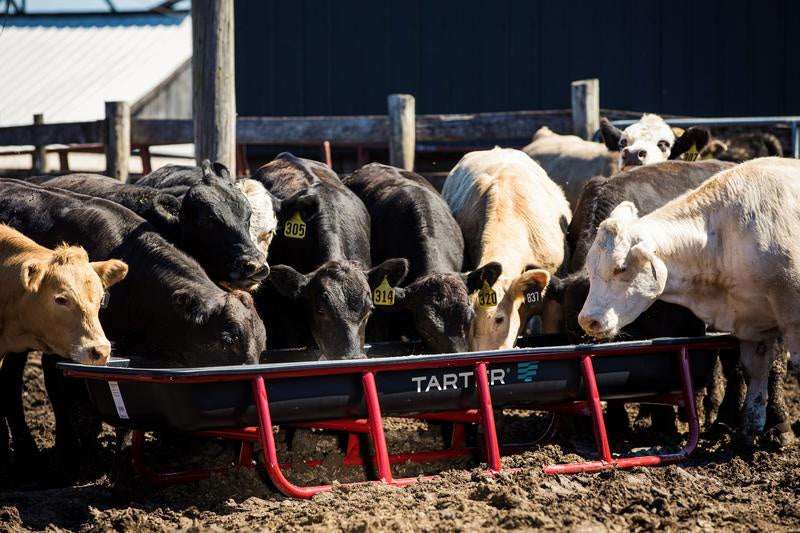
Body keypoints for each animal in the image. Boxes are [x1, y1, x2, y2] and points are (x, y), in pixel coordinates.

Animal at [577, 157, 800, 443]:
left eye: (620, 268)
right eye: (590, 267)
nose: (588, 320)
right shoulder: (753, 321)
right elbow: (754, 369)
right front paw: (747, 432)